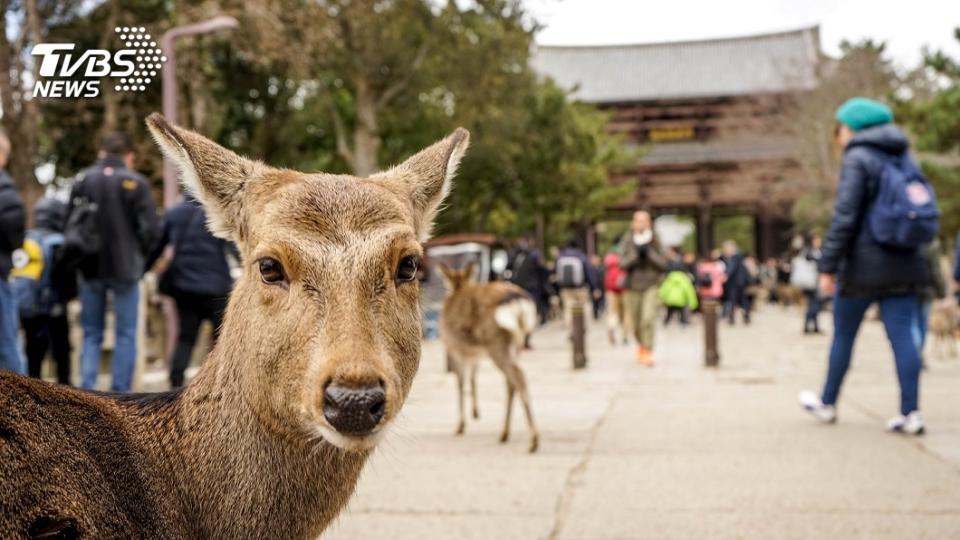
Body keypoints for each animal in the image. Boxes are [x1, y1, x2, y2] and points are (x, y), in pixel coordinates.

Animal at [436, 262, 536, 452]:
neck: (458, 287)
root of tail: (517, 301)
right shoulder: (473, 354)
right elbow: (473, 378)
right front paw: (475, 413)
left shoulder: (454, 349)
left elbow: (460, 384)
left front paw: (460, 426)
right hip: (516, 344)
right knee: (511, 381)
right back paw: (504, 433)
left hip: (496, 342)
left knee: (518, 377)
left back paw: (533, 440)